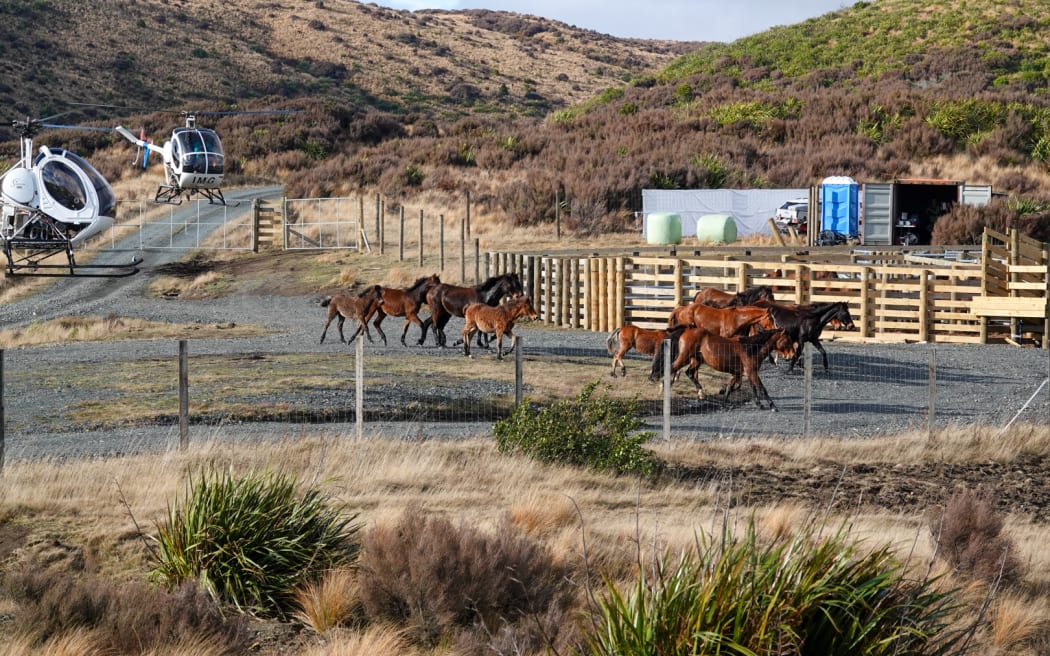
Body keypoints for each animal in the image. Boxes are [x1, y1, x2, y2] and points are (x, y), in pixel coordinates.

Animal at [648, 325, 784, 410]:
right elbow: (761, 388)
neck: (750, 348)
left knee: (690, 373)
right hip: (685, 357)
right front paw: (773, 406)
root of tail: (686, 331)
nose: (789, 355)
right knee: (673, 368)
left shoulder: (743, 372)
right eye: (786, 338)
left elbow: (735, 387)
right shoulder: (751, 372)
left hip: (696, 359)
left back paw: (701, 393)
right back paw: (664, 388)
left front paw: (724, 401)